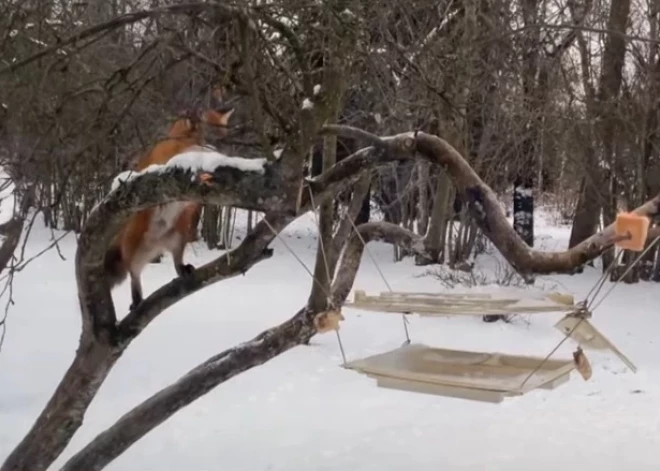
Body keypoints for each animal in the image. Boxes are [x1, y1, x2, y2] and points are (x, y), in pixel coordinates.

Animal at [103, 87, 235, 312]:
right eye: (212, 138)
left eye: (225, 136)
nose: (224, 151)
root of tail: (157, 244)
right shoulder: (168, 158)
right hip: (132, 250)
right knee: (133, 275)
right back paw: (136, 300)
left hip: (178, 239)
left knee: (176, 263)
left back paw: (182, 269)